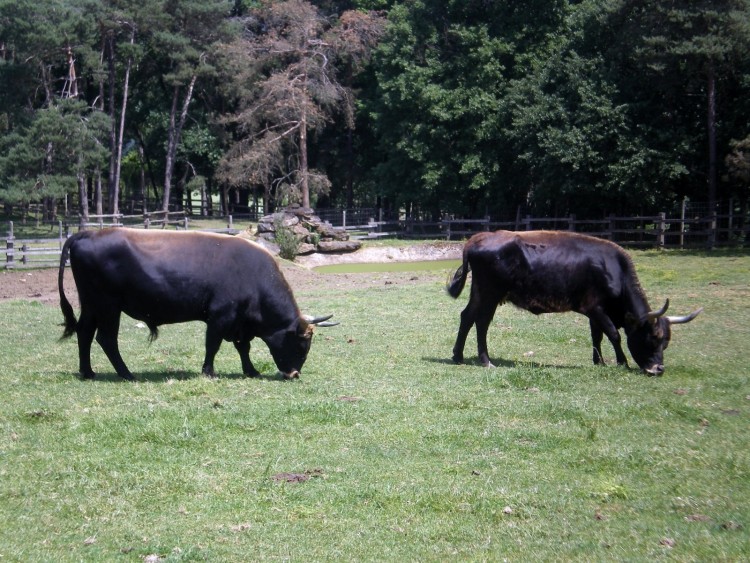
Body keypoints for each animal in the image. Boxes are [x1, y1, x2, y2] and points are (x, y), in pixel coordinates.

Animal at [60, 229, 336, 384]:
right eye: (302, 345)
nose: (294, 374)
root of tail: (87, 233)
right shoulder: (220, 317)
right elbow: (212, 345)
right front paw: (209, 372)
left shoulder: (240, 323)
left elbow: (243, 348)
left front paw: (251, 371)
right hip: (108, 306)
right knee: (106, 339)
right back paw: (127, 374)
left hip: (91, 305)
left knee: (84, 333)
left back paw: (87, 372)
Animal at [446, 231, 704, 376]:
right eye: (652, 338)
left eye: (666, 343)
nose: (658, 370)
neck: (615, 270)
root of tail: (476, 239)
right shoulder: (595, 308)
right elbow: (614, 334)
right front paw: (622, 362)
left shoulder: (594, 314)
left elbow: (597, 336)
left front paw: (599, 362)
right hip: (491, 293)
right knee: (481, 322)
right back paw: (486, 361)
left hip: (480, 292)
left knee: (467, 317)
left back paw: (458, 356)